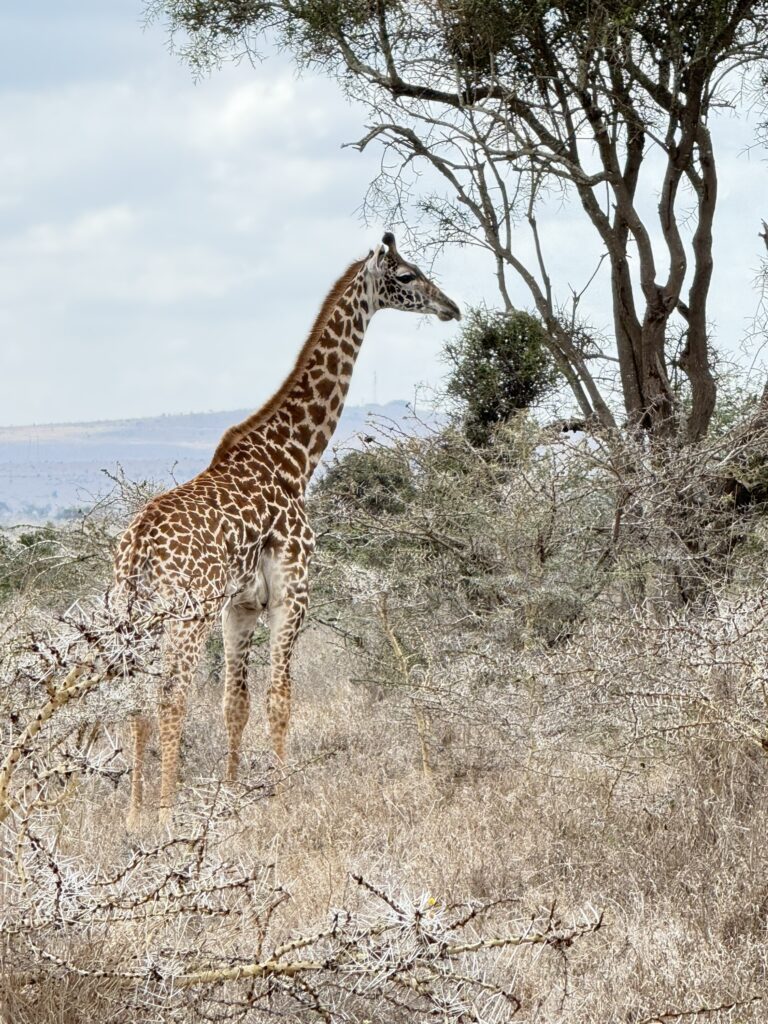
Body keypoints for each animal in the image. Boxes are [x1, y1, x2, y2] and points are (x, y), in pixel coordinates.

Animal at [114, 233, 461, 828]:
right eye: (407, 275)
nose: (451, 307)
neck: (293, 459)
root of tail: (137, 546)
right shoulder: (291, 591)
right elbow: (280, 698)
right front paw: (280, 802)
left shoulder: (240, 605)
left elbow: (236, 703)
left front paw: (231, 800)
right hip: (184, 613)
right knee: (170, 697)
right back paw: (163, 814)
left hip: (131, 615)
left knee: (138, 699)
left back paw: (135, 815)